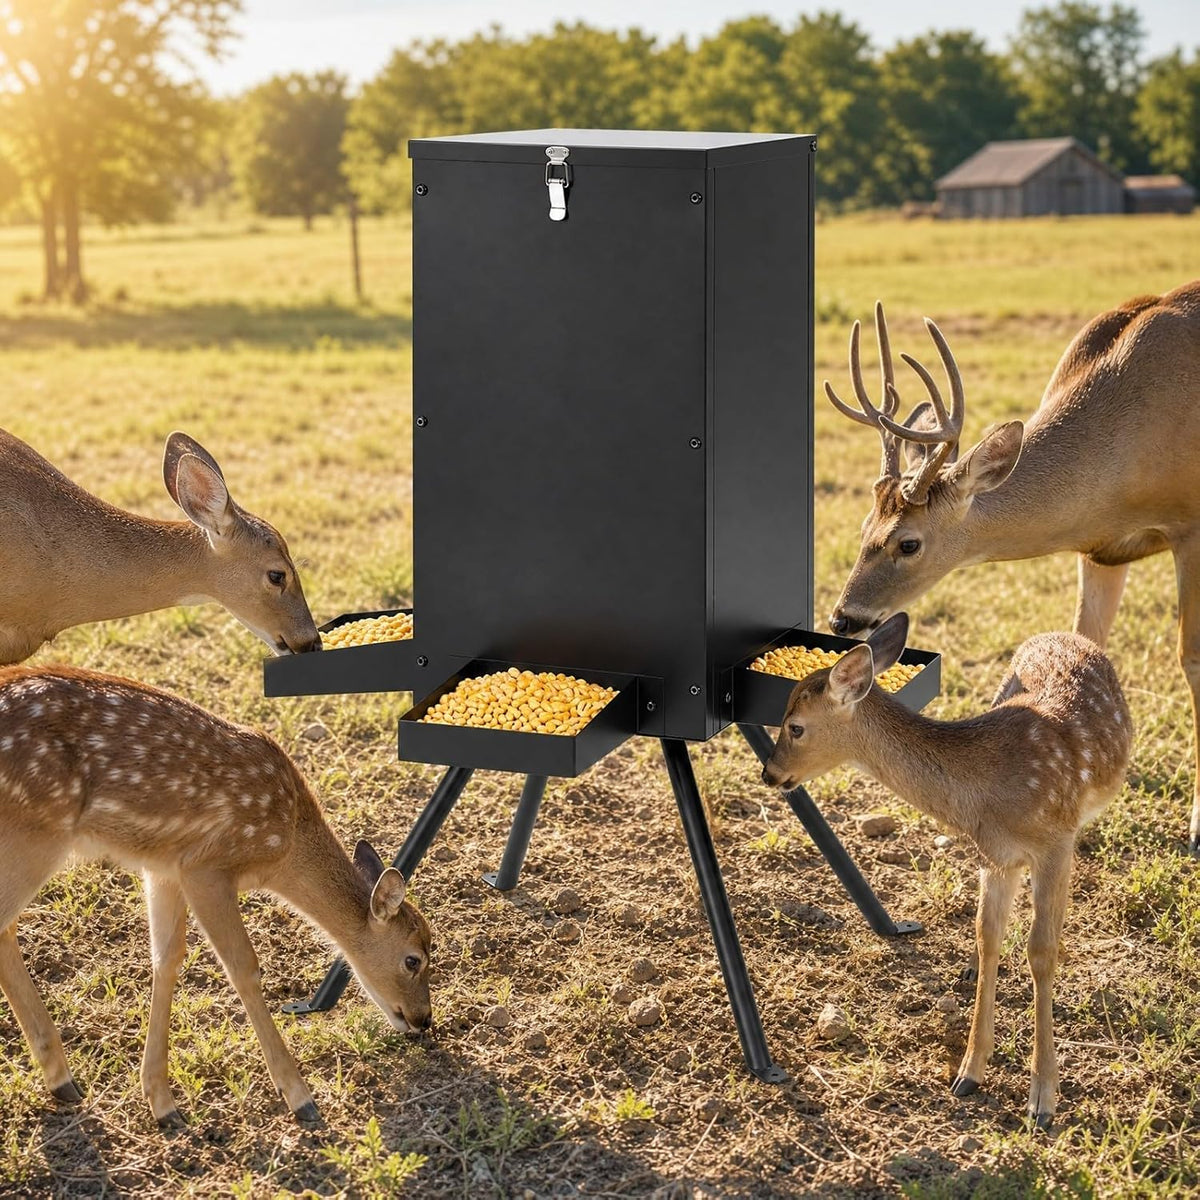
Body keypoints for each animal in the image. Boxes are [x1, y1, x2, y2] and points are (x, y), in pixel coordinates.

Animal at [0, 664, 432, 1127]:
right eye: (413, 960)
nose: (424, 1019)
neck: (283, 848)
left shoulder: (165, 866)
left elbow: (166, 959)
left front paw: (161, 1102)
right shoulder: (205, 866)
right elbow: (244, 967)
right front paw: (300, 1098)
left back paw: (62, 1081)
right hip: (38, 830)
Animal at [762, 613, 1132, 1129]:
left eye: (795, 726)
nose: (770, 773)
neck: (989, 790)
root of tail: (1069, 635)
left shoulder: (1055, 843)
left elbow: (1041, 952)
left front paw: (1042, 1098)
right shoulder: (995, 856)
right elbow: (987, 935)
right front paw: (969, 1072)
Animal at [821, 282, 1200, 850]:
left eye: (908, 544)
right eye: (864, 526)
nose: (843, 618)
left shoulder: (1190, 527)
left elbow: (1192, 659)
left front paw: (1198, 824)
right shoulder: (1101, 548)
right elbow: (1085, 640)